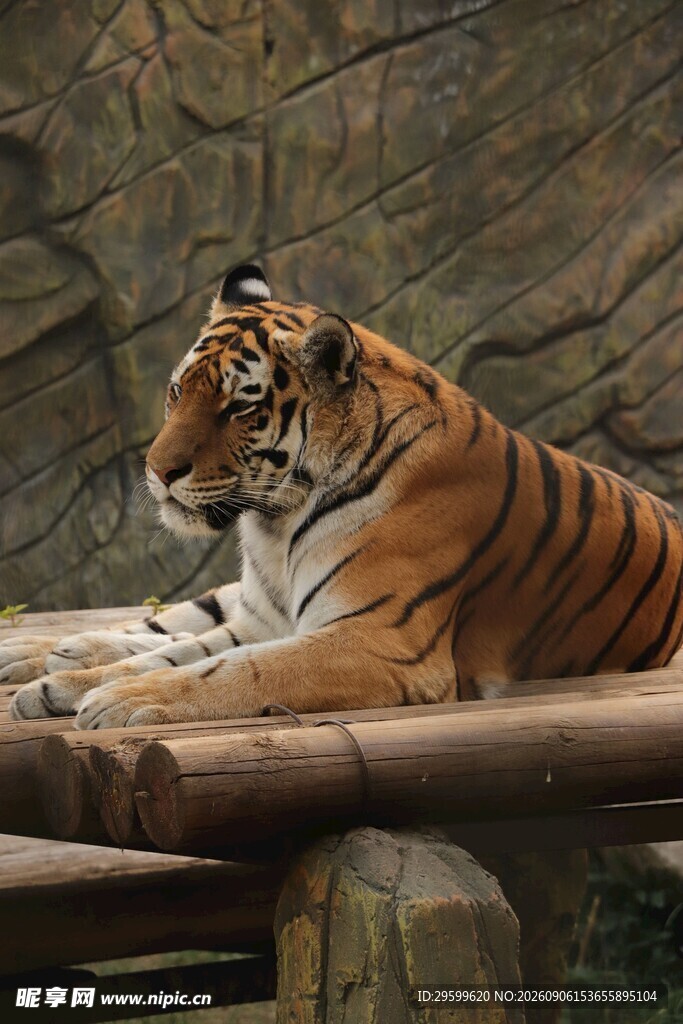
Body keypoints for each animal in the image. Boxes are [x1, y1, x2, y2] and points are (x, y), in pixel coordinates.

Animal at [3, 263, 682, 730]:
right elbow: (173, 652)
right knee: (159, 625)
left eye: (238, 407)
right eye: (177, 392)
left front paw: (114, 699)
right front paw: (64, 684)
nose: (157, 471)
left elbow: (231, 669)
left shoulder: (378, 640)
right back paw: (35, 653)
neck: (275, 524)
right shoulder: (270, 618)